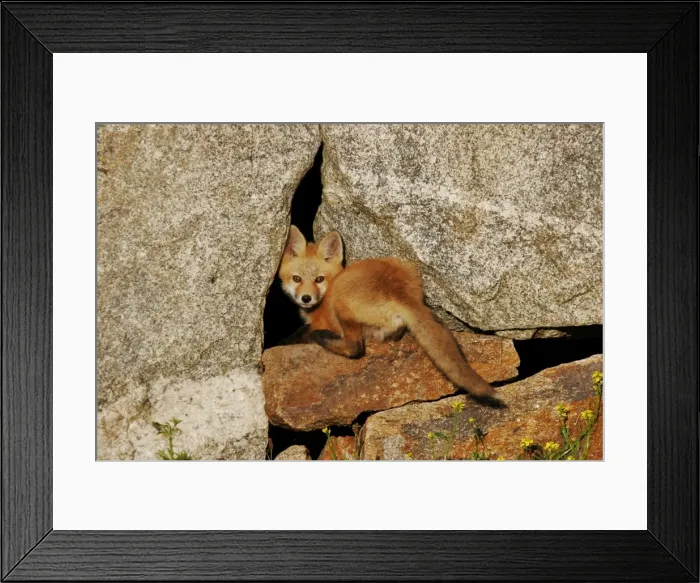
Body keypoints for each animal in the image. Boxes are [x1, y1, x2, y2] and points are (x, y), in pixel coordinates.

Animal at [277, 225, 497, 401]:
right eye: (296, 279)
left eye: (319, 279)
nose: (306, 298)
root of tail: (396, 288)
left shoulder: (319, 321)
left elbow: (297, 334)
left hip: (341, 303)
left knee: (354, 347)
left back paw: (322, 338)